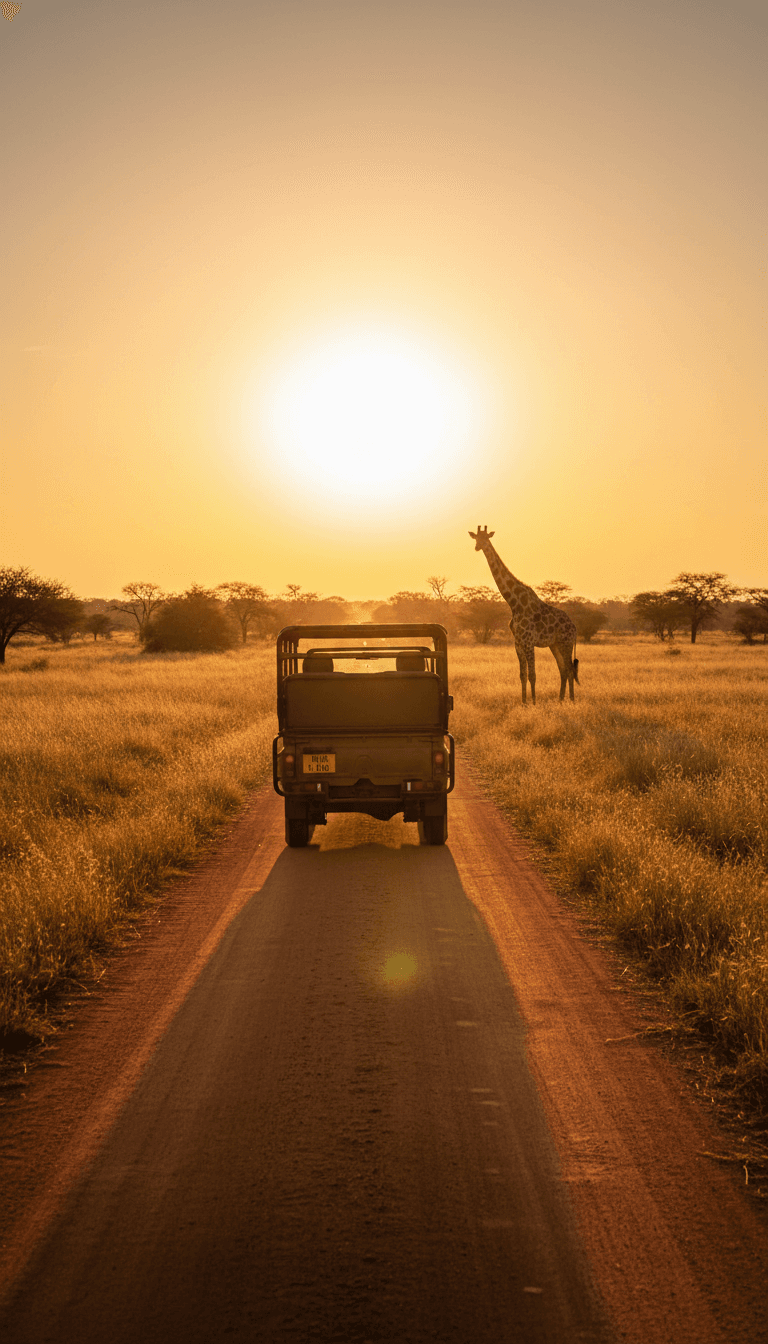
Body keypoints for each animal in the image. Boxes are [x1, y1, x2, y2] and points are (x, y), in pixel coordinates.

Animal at [469, 526, 579, 704]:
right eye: (476, 538)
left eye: (486, 539)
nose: (478, 547)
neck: (514, 603)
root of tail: (574, 627)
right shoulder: (518, 643)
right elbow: (522, 674)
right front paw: (524, 702)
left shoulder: (528, 642)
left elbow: (532, 675)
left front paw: (533, 703)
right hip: (555, 644)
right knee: (563, 670)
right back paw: (561, 700)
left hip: (566, 643)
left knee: (569, 669)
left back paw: (572, 701)